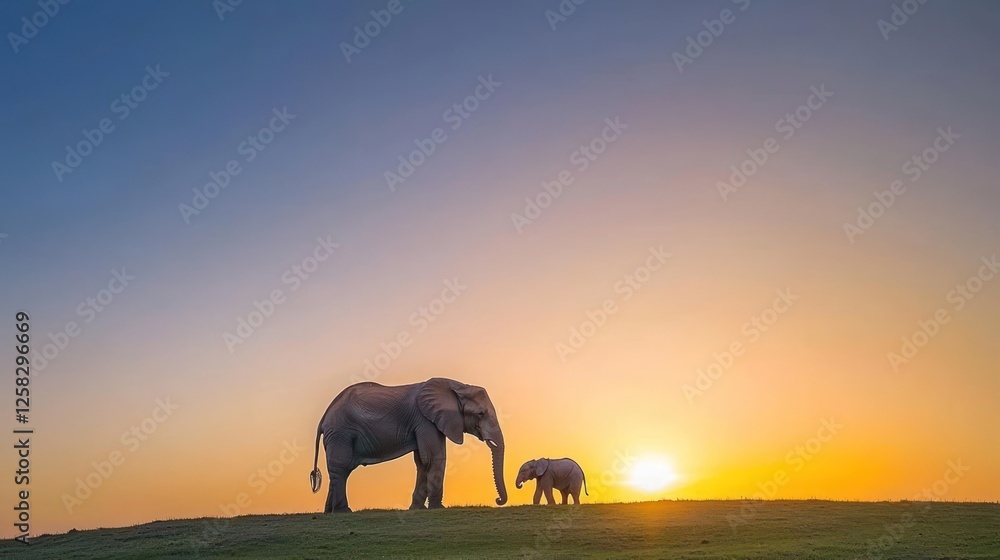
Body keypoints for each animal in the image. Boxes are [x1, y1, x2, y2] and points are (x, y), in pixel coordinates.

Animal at [309, 377, 507, 512]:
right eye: (480, 414)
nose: (497, 500)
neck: (456, 386)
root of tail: (323, 418)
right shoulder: (425, 420)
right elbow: (433, 458)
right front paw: (437, 509)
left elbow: (422, 461)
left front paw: (417, 509)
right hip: (341, 433)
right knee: (342, 467)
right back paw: (343, 511)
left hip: (337, 435)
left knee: (337, 471)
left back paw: (329, 512)